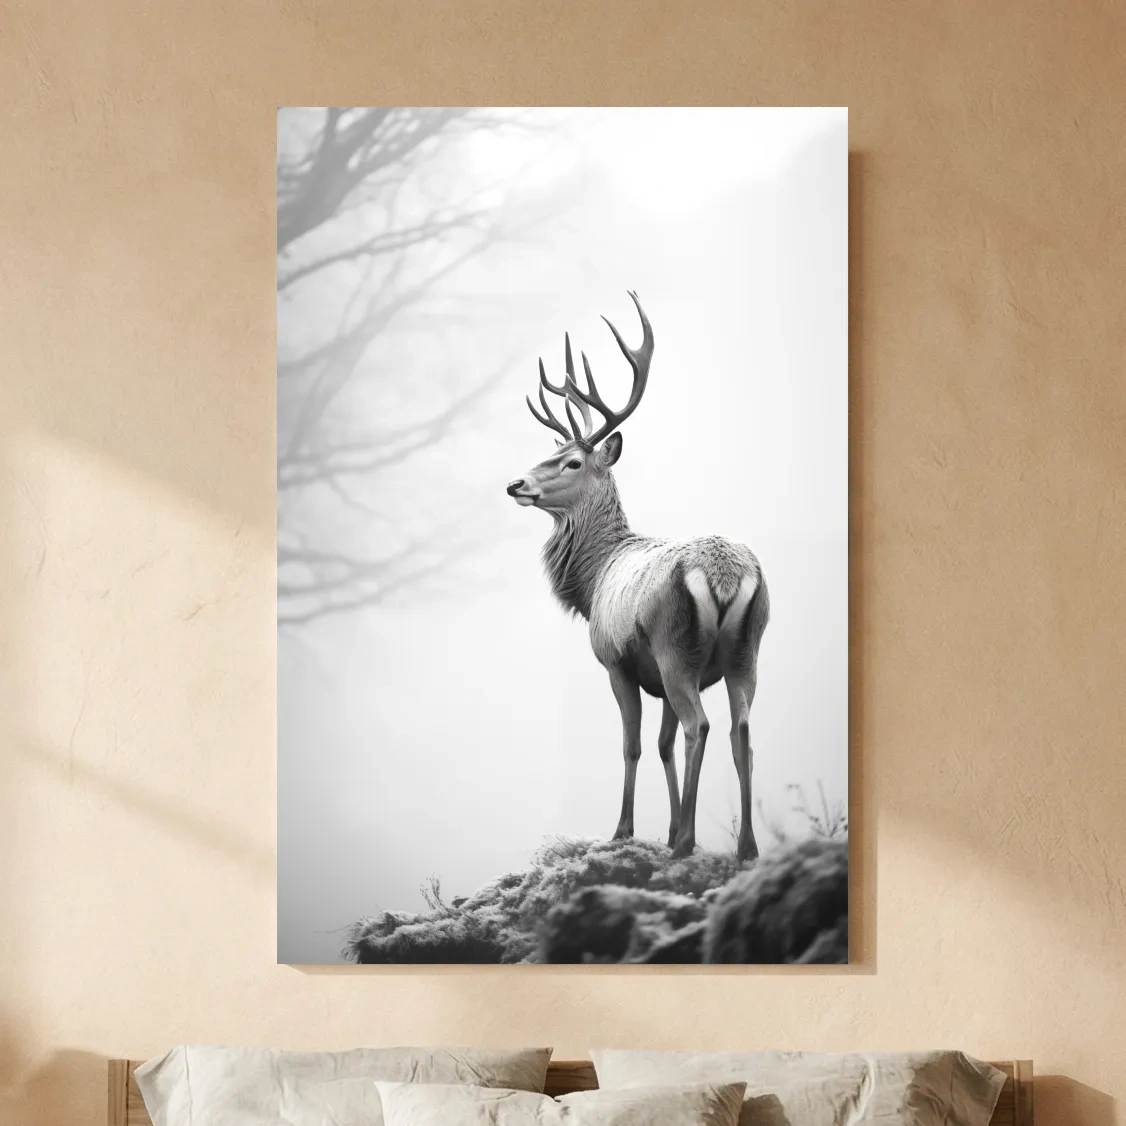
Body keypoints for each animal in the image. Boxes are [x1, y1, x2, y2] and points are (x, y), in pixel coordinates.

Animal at [506, 291, 770, 863]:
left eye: (571, 461)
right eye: (551, 452)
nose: (515, 483)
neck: (594, 578)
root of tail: (724, 575)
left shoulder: (616, 660)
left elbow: (634, 745)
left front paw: (626, 830)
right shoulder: (658, 677)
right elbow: (664, 745)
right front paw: (666, 827)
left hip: (675, 646)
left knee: (701, 725)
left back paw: (688, 843)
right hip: (745, 650)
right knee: (740, 731)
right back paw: (745, 847)